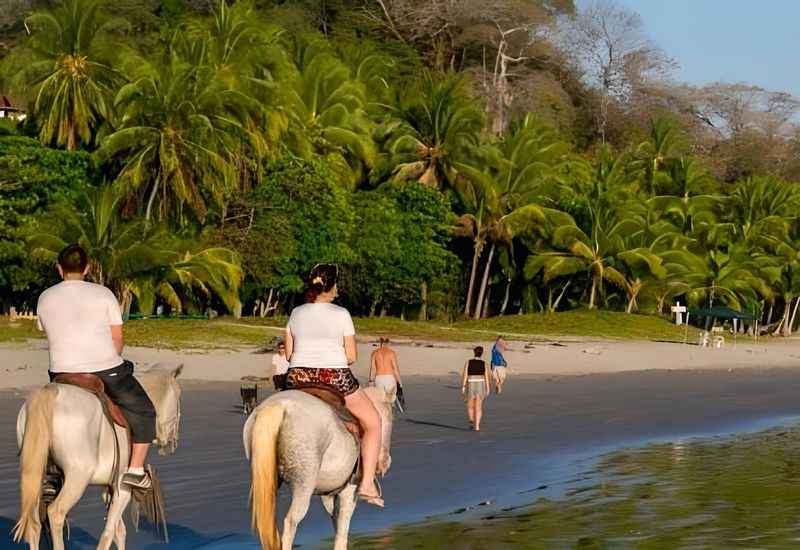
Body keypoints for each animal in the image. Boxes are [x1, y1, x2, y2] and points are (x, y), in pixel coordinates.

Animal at [13, 366, 183, 550]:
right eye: (178, 397)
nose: (172, 444)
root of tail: (50, 392)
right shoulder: (123, 489)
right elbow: (108, 533)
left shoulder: (108, 489)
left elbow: (119, 531)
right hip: (78, 477)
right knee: (55, 513)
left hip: (36, 477)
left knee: (33, 523)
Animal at [242, 388, 396, 550]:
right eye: (389, 417)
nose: (386, 462)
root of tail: (280, 406)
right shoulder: (348, 493)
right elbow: (341, 536)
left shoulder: (329, 497)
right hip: (304, 485)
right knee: (291, 522)